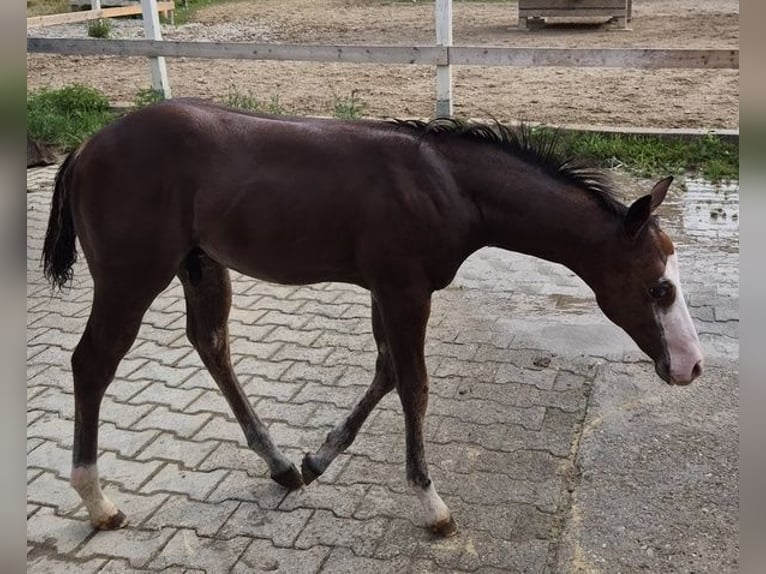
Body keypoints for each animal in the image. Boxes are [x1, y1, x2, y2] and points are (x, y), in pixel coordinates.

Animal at [41, 99, 703, 537]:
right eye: (658, 287)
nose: (691, 367)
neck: (446, 184)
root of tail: (86, 147)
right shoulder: (406, 289)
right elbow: (414, 384)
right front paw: (432, 506)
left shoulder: (385, 289)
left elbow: (386, 372)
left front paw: (318, 458)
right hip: (131, 277)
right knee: (92, 362)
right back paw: (98, 501)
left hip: (200, 266)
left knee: (212, 344)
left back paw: (281, 466)